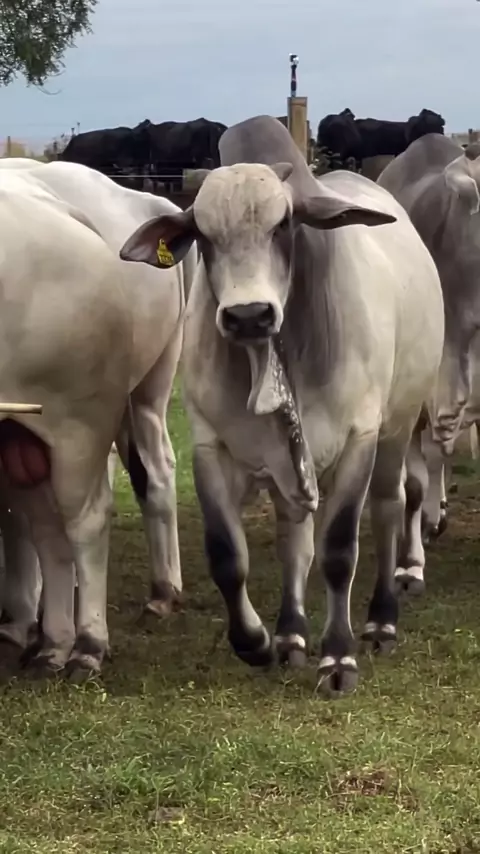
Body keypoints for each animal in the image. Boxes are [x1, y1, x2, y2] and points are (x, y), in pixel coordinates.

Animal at [0, 161, 196, 675]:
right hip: (27, 434)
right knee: (44, 526)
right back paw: (49, 641)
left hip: (88, 416)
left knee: (89, 516)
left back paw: (88, 642)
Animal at [119, 114, 444, 696]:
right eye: (202, 234)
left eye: (283, 224)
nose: (249, 315)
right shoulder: (212, 446)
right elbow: (229, 555)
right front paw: (258, 641)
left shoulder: (359, 438)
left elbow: (338, 552)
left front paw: (338, 657)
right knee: (296, 536)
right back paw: (292, 633)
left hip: (396, 430)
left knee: (390, 510)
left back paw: (382, 620)